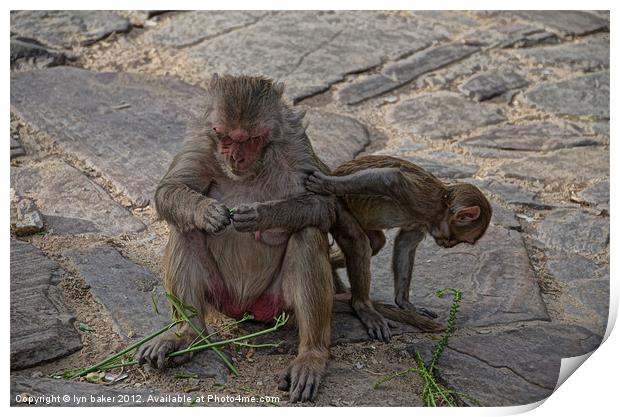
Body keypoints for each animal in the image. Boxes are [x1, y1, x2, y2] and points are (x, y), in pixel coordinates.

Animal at [308, 154, 492, 320]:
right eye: (457, 239)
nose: (447, 244)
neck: (442, 207)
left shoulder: (423, 221)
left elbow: (405, 244)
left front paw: (404, 303)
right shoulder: (425, 202)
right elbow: (391, 179)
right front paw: (327, 184)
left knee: (376, 243)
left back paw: (332, 267)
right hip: (336, 204)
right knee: (359, 243)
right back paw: (362, 307)